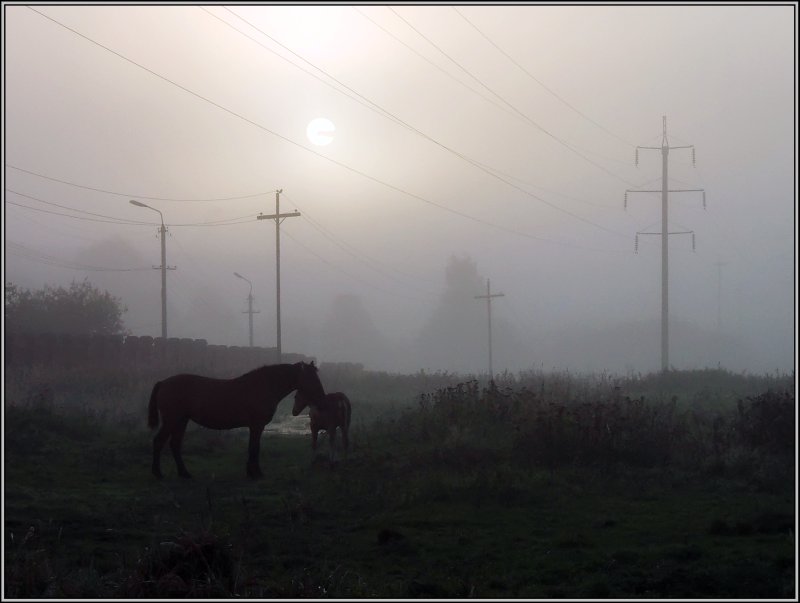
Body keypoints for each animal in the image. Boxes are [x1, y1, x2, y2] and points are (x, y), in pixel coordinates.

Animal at [147, 360, 324, 478]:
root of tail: (163, 383)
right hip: (172, 420)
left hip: (181, 421)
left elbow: (254, 447)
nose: (321, 396)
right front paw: (255, 473)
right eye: (310, 377)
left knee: (174, 445)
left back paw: (184, 473)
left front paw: (252, 471)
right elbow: (254, 447)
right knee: (159, 441)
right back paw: (157, 473)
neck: (262, 386)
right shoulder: (256, 425)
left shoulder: (255, 426)